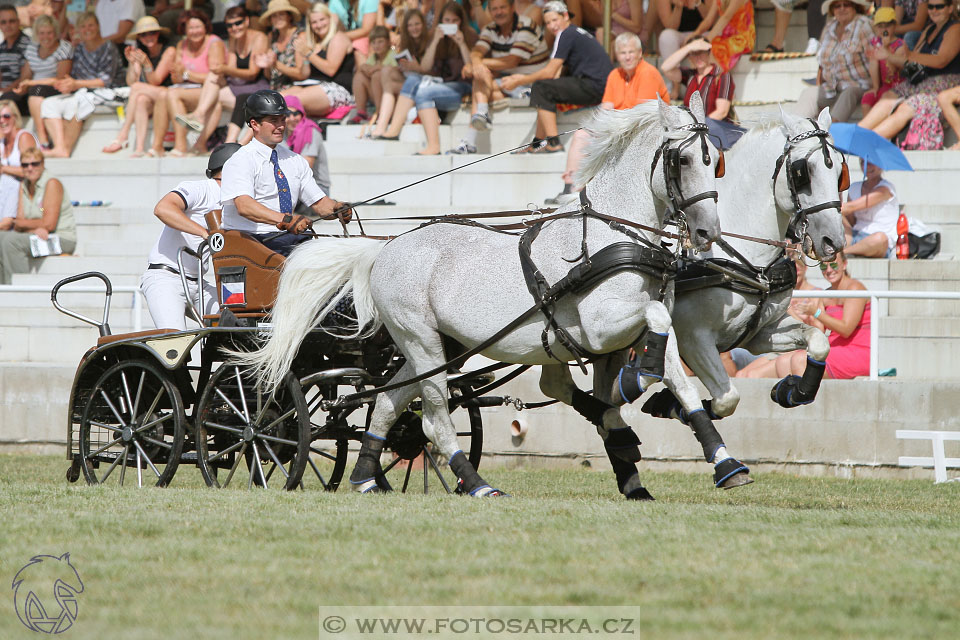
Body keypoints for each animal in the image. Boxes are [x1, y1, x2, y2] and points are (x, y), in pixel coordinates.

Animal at [232, 95, 728, 498]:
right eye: (683, 160)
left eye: (716, 161)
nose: (708, 232)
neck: (613, 234)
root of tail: (385, 247)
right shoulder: (599, 325)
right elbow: (655, 329)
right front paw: (636, 383)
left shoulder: (628, 328)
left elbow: (679, 373)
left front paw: (723, 460)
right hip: (421, 340)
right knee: (433, 419)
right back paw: (476, 484)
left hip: (432, 346)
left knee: (390, 402)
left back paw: (365, 477)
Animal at [636, 110, 848, 438]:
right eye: (804, 172)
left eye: (839, 170)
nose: (833, 240)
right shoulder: (693, 338)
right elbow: (727, 399)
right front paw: (667, 404)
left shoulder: (760, 333)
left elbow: (819, 341)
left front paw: (792, 390)